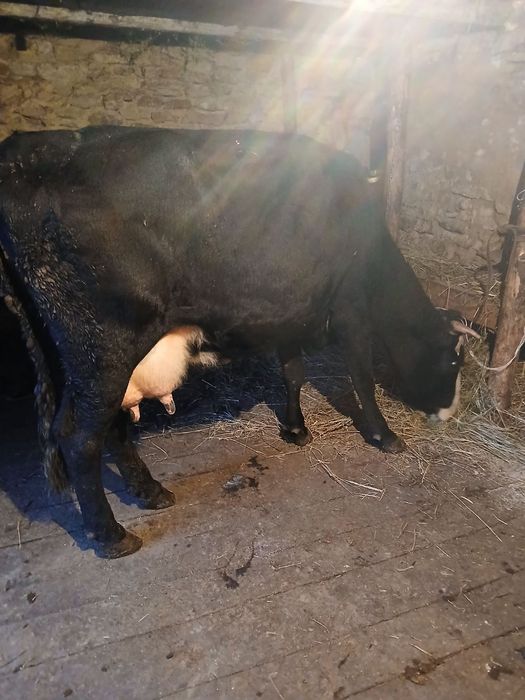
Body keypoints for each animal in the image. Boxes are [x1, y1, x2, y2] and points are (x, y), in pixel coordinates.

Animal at [0, 126, 477, 558]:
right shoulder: (351, 309)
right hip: (103, 348)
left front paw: (297, 429)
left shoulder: (290, 312)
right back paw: (111, 535)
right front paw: (385, 435)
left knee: (103, 427)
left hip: (86, 360)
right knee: (81, 439)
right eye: (454, 364)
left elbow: (293, 373)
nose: (449, 413)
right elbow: (362, 378)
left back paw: (151, 491)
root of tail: (25, 149)